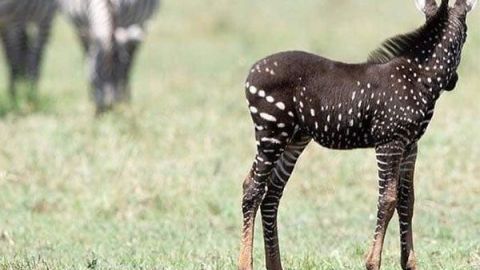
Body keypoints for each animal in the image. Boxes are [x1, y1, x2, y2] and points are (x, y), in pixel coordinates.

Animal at [240, 0, 476, 270]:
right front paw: (372, 262)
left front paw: (409, 263)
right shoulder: (389, 142)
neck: (417, 78)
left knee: (271, 193)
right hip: (271, 132)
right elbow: (387, 200)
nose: (454, 82)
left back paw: (274, 264)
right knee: (252, 189)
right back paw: (244, 264)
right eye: (466, 36)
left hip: (294, 139)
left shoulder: (410, 146)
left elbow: (407, 201)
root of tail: (252, 71)